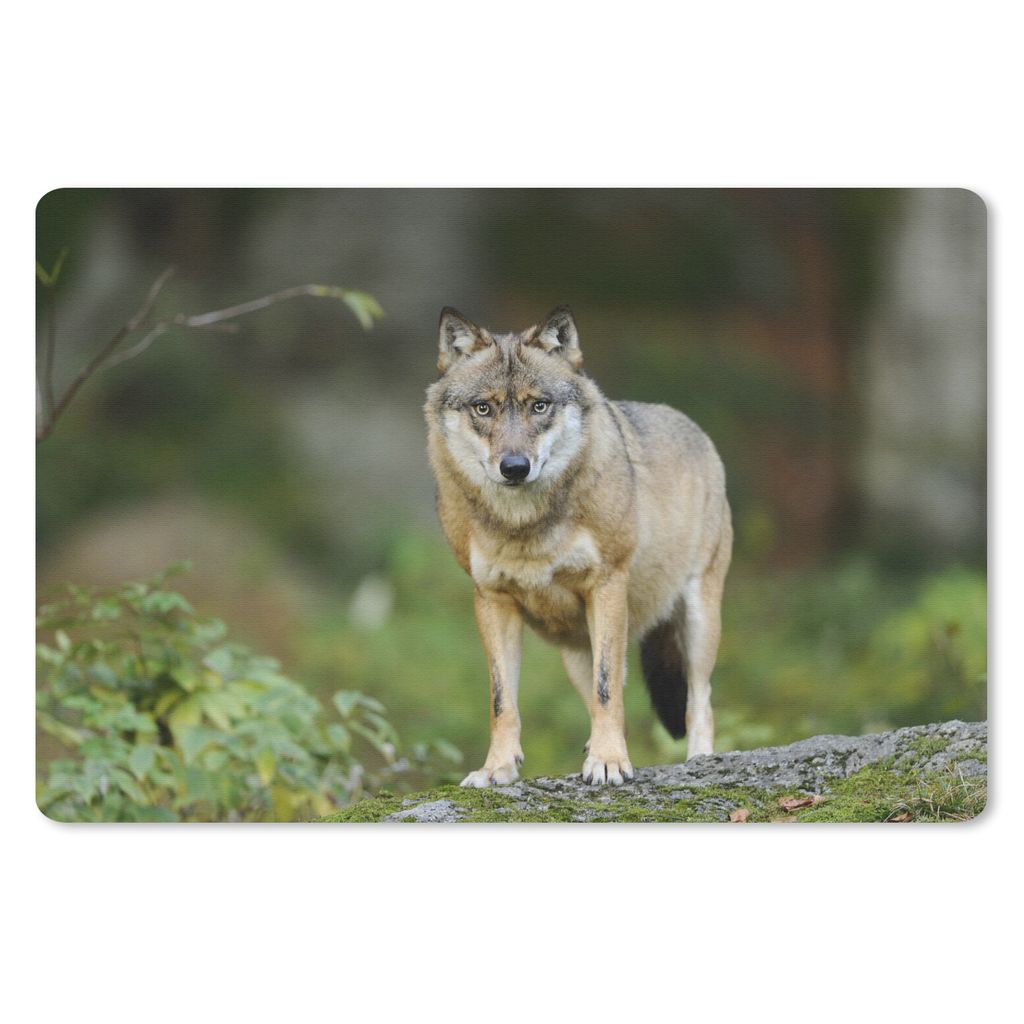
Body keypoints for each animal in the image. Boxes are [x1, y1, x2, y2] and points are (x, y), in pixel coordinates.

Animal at [424, 305, 732, 787]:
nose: (515, 467)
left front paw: (607, 762)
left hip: (698, 620)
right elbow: (502, 701)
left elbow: (608, 693)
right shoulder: (491, 600)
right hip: (574, 651)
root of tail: (694, 428)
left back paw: (697, 760)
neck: (525, 527)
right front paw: (497, 768)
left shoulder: (606, 584)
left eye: (539, 405)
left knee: (699, 698)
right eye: (483, 408)